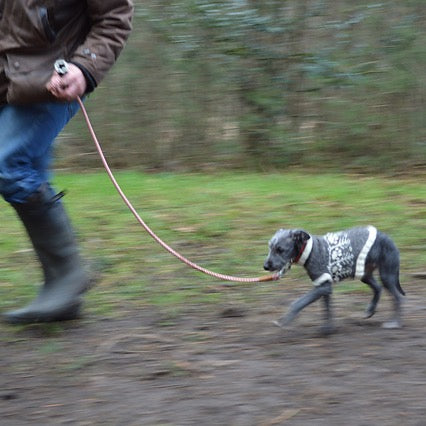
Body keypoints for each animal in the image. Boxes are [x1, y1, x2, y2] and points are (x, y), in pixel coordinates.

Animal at [262, 225, 406, 334]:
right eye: (269, 247)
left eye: (280, 250)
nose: (265, 266)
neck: (309, 251)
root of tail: (388, 238)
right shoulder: (324, 286)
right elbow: (327, 309)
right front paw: (328, 329)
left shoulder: (323, 286)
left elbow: (298, 303)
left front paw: (283, 320)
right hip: (364, 274)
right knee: (378, 288)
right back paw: (370, 311)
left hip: (386, 274)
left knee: (398, 297)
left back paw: (394, 322)